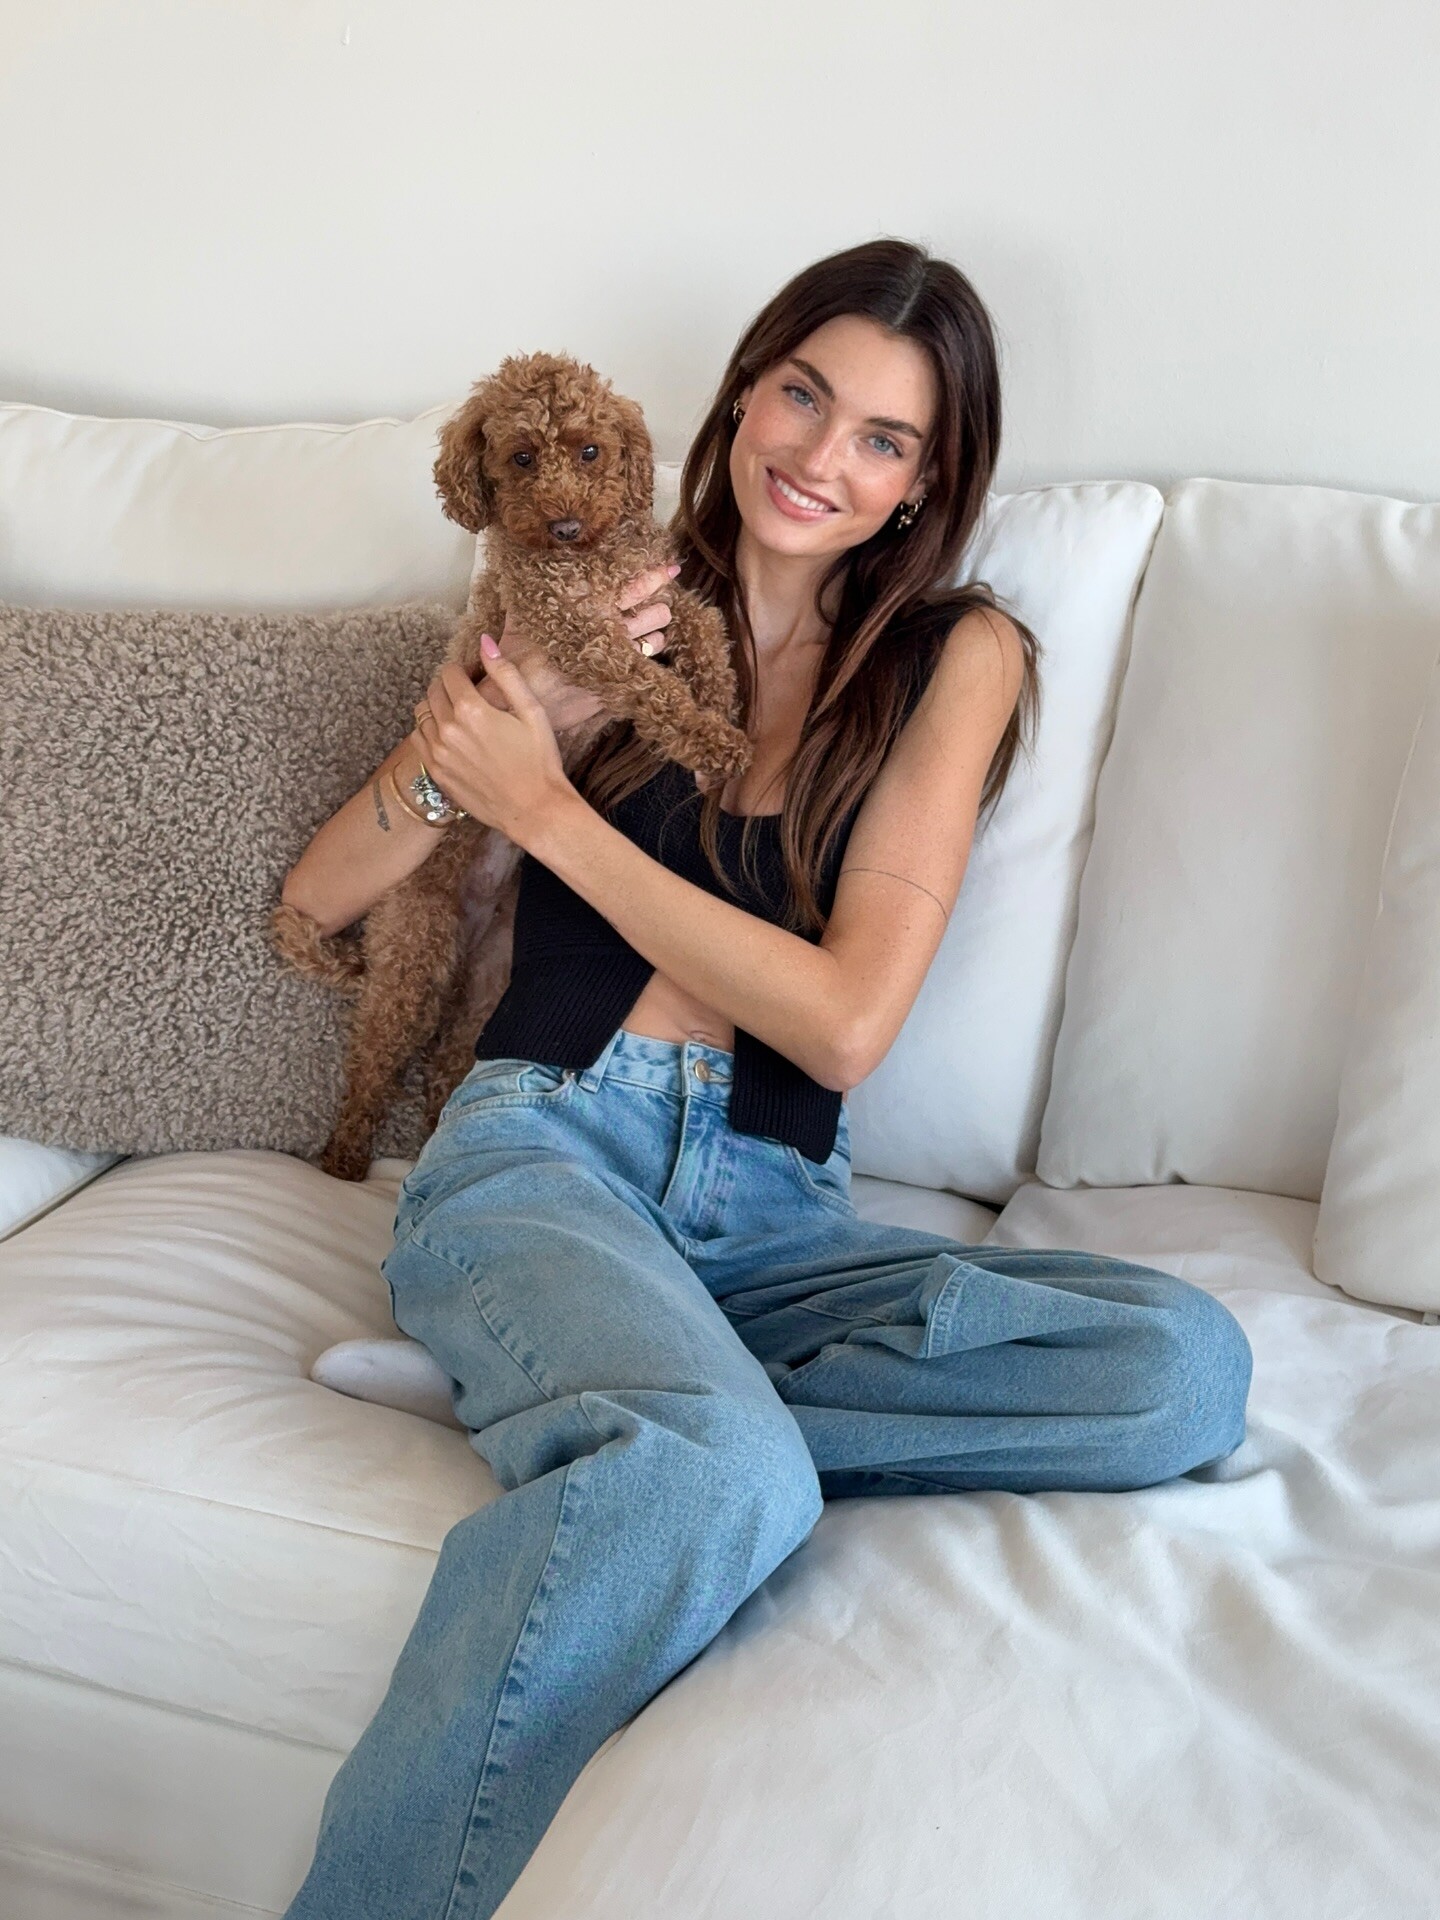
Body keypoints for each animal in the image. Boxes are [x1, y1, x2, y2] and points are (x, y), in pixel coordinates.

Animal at [269, 352, 751, 1181]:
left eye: (590, 451)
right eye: (521, 458)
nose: (564, 525)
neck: (587, 563)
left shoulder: (655, 597)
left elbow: (704, 626)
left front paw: (719, 705)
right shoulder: (572, 633)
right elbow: (649, 685)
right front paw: (706, 739)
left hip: (493, 978)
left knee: (448, 1064)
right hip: (415, 956)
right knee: (373, 1061)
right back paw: (346, 1157)